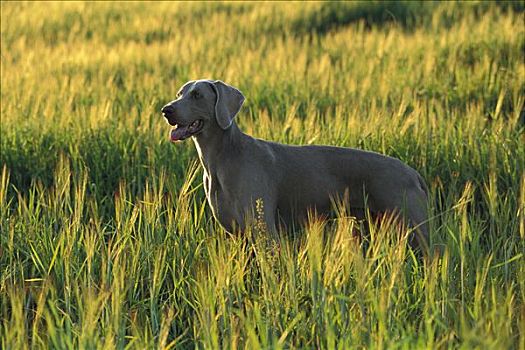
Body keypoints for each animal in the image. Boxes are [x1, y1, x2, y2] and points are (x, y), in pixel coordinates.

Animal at [161, 79, 430, 252]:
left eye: (197, 95)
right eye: (179, 94)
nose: (166, 110)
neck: (222, 158)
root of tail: (413, 173)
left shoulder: (265, 234)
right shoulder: (238, 235)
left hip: (416, 230)